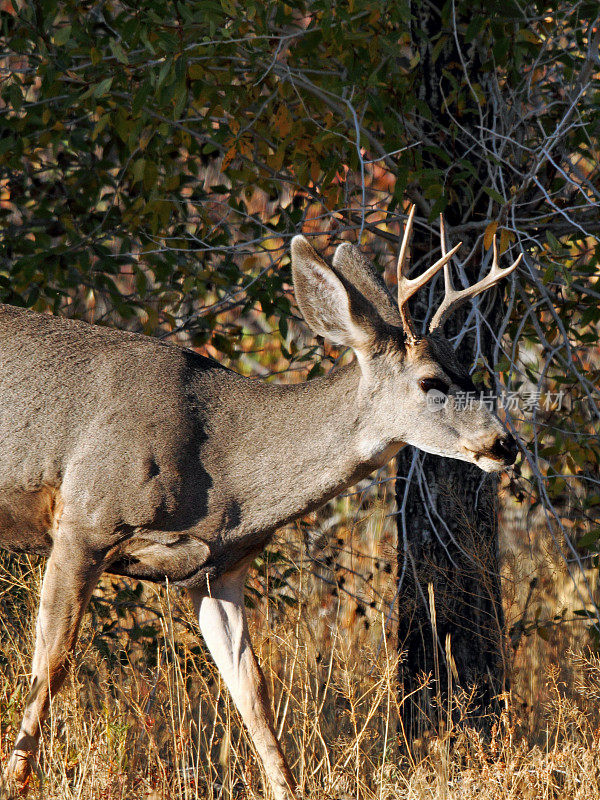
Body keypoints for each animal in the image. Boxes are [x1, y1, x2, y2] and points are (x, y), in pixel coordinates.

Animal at [2, 208, 520, 800]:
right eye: (431, 381)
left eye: (470, 370)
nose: (505, 443)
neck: (224, 470)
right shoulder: (84, 522)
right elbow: (50, 666)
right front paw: (15, 780)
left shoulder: (217, 570)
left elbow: (252, 691)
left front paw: (286, 788)